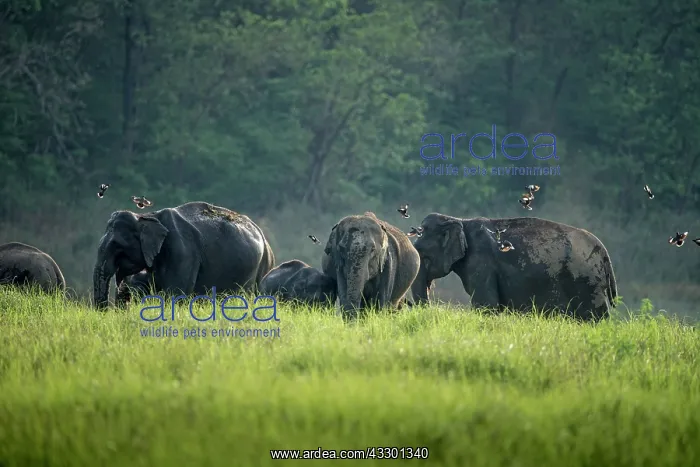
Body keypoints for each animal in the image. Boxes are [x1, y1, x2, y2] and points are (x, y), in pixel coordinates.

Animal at [409, 213, 618, 321]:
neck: (458, 220)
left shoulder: (481, 263)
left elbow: (486, 305)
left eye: (423, 255)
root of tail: (605, 254)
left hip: (588, 282)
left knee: (595, 315)